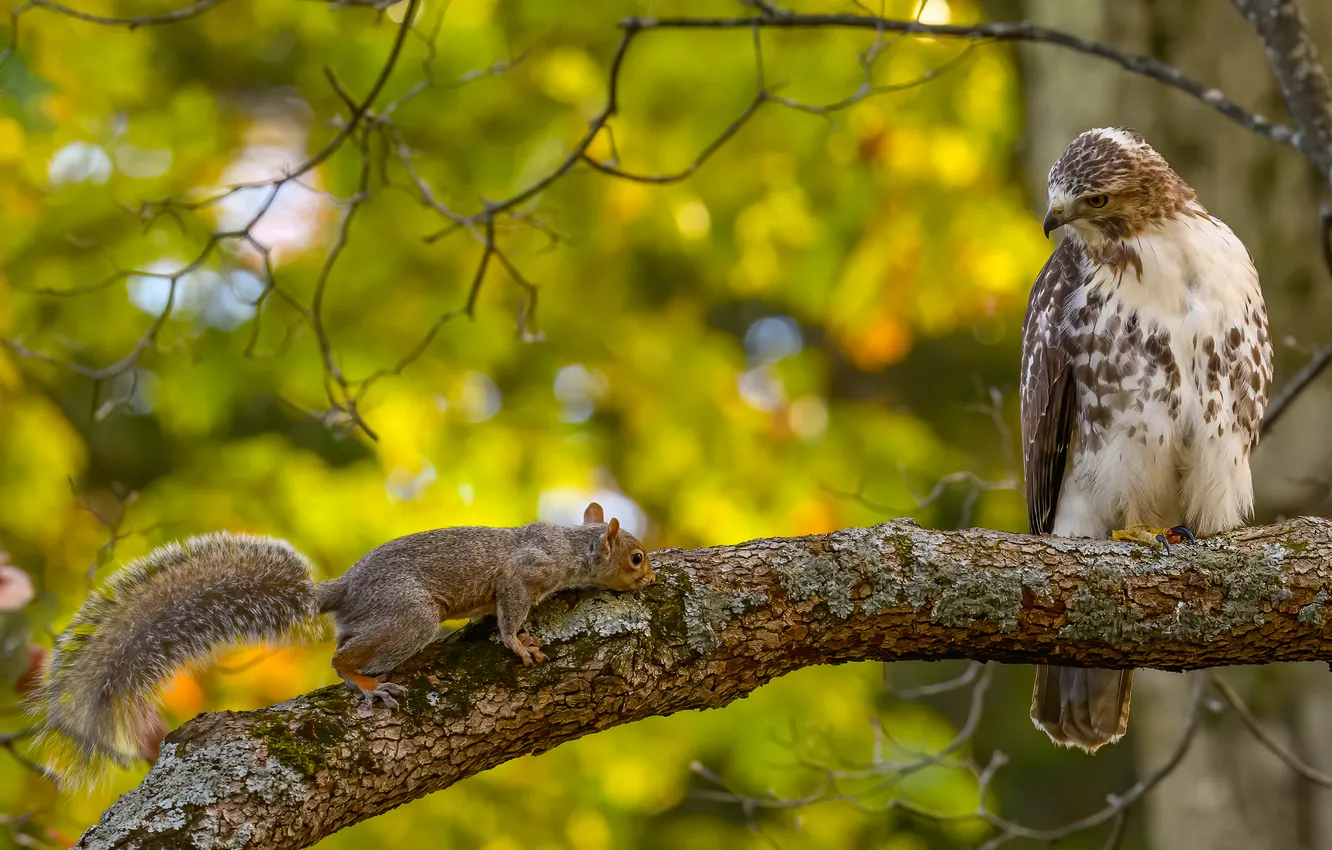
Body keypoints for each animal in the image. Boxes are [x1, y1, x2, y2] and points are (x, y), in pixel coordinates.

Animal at [31, 503, 655, 788]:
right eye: (636, 556)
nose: (650, 578)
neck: (571, 548)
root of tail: (344, 591)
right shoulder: (523, 574)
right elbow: (508, 611)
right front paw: (518, 645)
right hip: (411, 614)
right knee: (341, 658)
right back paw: (368, 683)